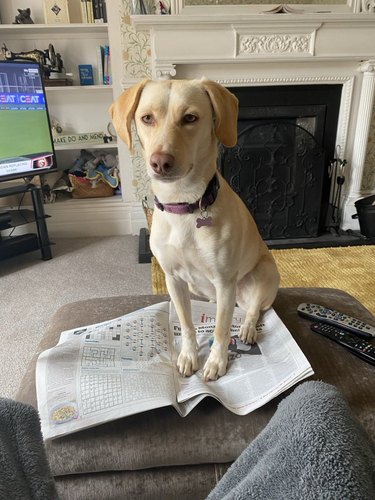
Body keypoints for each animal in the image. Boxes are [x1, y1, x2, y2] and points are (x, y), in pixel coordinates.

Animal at [108, 80, 280, 380]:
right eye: (147, 118)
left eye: (190, 118)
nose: (160, 162)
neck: (183, 206)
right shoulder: (174, 281)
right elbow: (187, 324)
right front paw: (189, 355)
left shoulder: (224, 283)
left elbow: (221, 330)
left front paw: (216, 362)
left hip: (264, 274)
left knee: (253, 311)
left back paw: (247, 328)